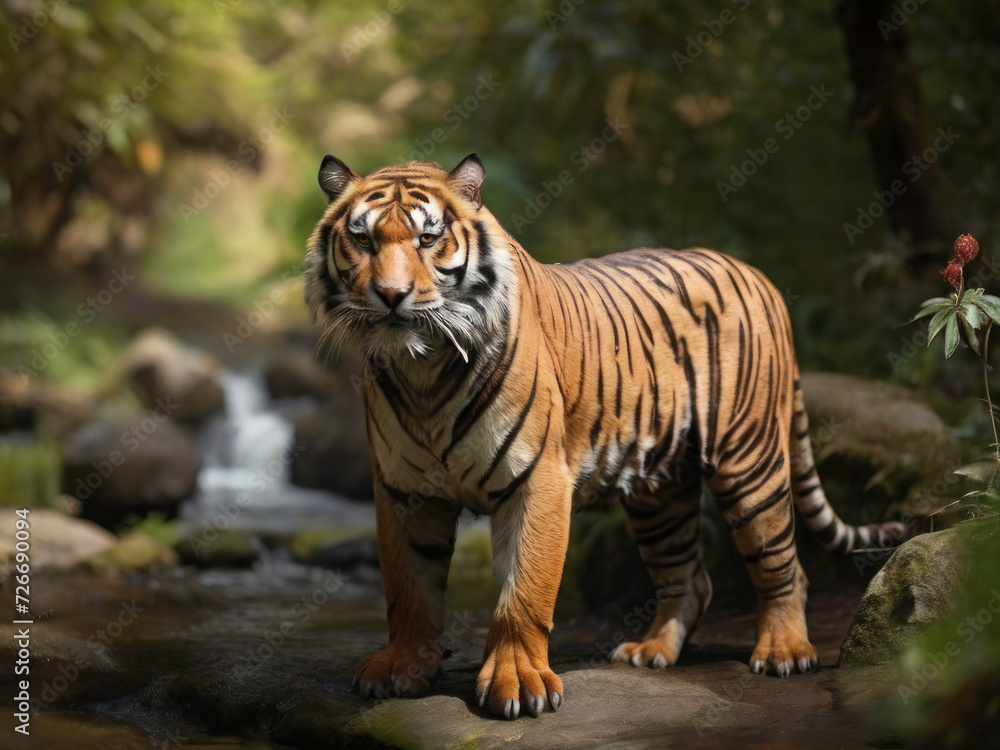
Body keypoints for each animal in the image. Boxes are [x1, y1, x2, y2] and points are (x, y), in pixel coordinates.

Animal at [303, 153, 906, 720]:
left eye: (428, 239)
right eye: (362, 239)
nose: (392, 295)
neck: (422, 369)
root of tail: (760, 277)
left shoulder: (536, 479)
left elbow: (524, 592)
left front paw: (517, 682)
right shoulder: (403, 491)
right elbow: (408, 589)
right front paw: (402, 667)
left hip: (750, 461)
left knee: (783, 565)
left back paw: (783, 651)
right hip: (660, 493)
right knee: (690, 577)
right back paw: (652, 651)